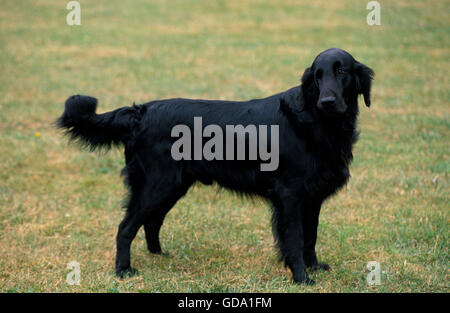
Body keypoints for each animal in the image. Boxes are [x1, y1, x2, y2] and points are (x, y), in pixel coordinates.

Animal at [57, 47, 372, 284]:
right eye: (317, 77)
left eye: (341, 71)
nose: (327, 100)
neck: (319, 123)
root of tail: (141, 111)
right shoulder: (290, 196)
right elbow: (294, 239)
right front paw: (301, 277)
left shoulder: (312, 198)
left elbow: (310, 237)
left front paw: (314, 267)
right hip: (157, 185)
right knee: (126, 227)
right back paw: (123, 270)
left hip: (171, 187)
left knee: (151, 222)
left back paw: (159, 255)